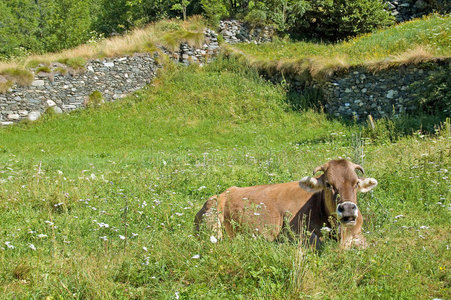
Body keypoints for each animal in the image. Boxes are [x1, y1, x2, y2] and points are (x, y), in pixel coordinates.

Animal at [194, 159, 378, 248]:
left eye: (356, 183)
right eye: (328, 184)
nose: (347, 209)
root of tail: (225, 192)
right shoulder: (294, 234)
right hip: (213, 223)